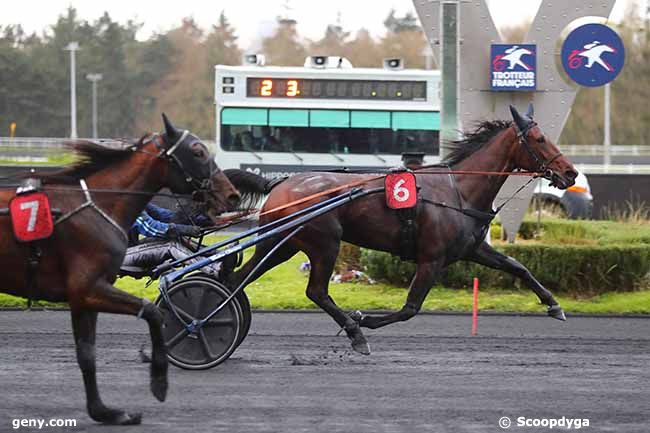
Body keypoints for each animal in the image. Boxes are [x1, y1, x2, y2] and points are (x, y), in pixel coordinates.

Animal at [0, 113, 239, 424]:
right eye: (198, 152)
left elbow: (87, 354)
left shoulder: (84, 298)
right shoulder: (89, 289)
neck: (98, 206)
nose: (232, 195)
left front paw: (105, 412)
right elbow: (153, 312)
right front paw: (158, 382)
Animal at [229, 105, 576, 354]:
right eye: (540, 139)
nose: (570, 173)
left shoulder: (473, 249)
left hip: (280, 243)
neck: (459, 191)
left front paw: (554, 305)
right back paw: (355, 333)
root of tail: (280, 183)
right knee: (316, 291)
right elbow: (410, 308)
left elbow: (518, 266)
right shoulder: (432, 258)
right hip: (324, 243)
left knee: (238, 277)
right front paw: (364, 320)